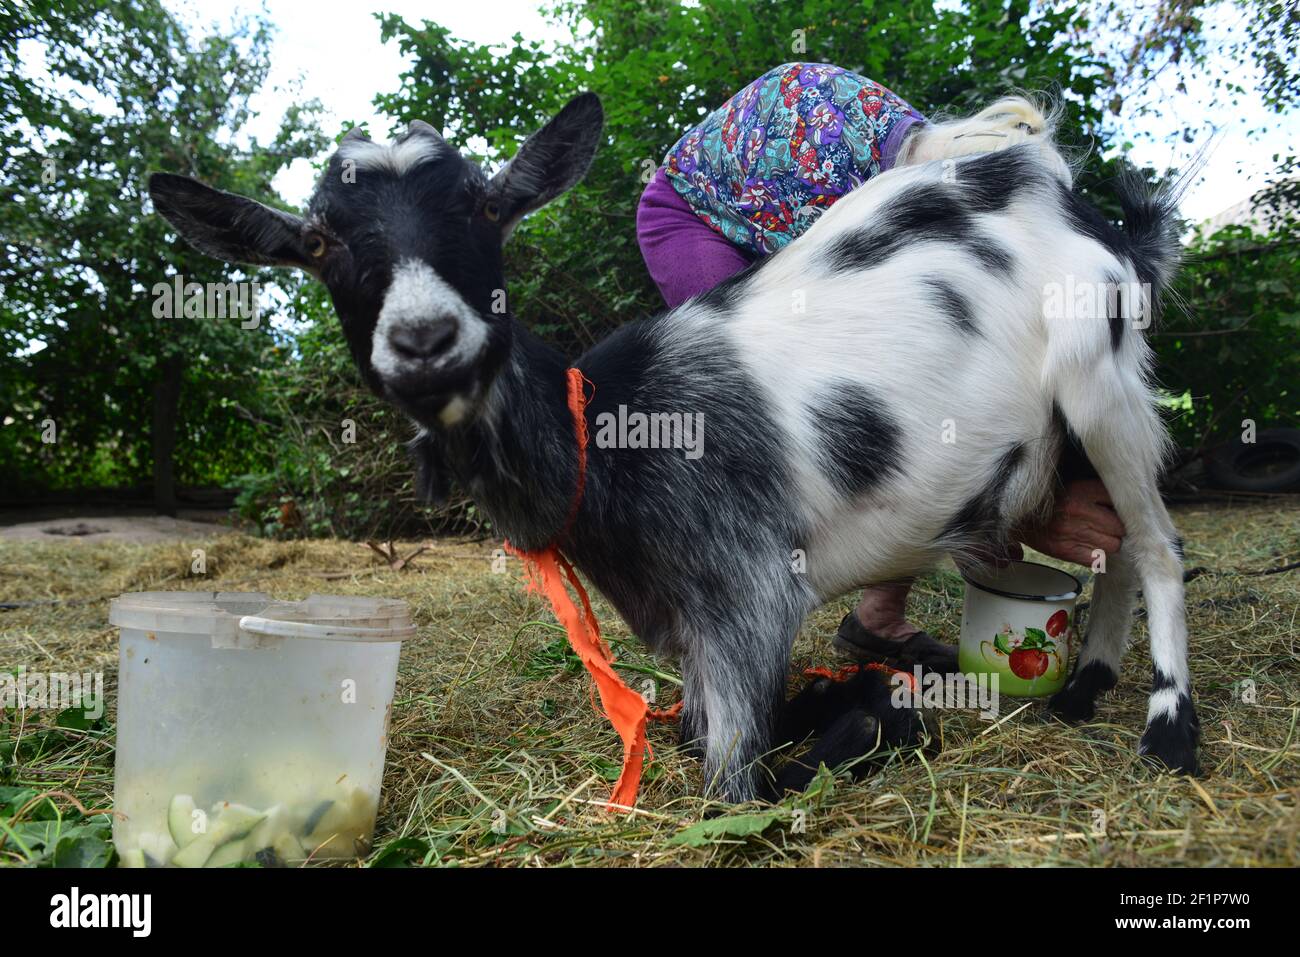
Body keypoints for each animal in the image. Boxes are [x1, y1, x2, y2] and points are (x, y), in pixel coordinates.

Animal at [149, 91, 1196, 800]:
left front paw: (856, 726)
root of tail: (1074, 206)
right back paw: (1084, 687)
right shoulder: (685, 624)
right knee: (1109, 547)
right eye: (319, 243)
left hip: (1103, 382)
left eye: (485, 207)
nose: (424, 338)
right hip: (1071, 431)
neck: (606, 432)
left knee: (1157, 544)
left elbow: (739, 781)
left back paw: (1169, 728)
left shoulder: (746, 599)